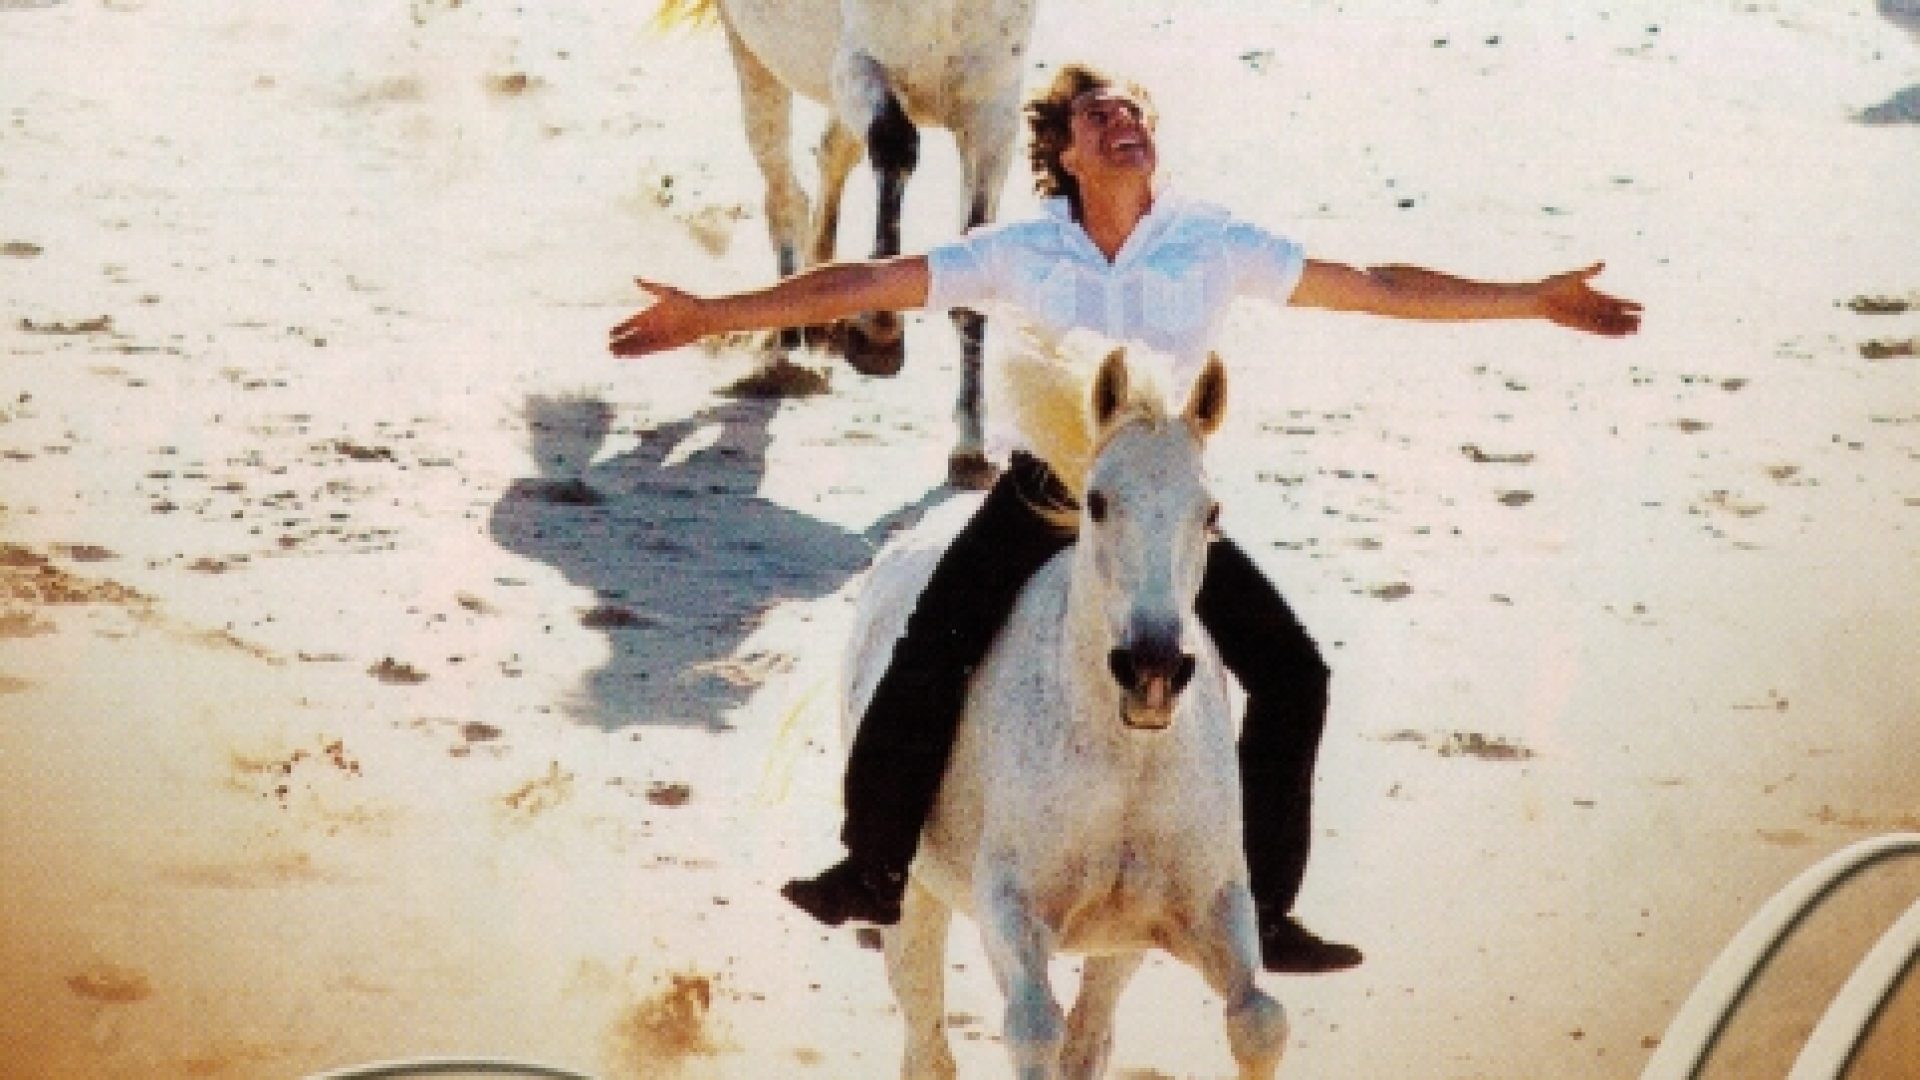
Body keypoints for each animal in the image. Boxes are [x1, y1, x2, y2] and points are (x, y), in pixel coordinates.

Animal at [653, 0, 1037, 489]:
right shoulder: (859, 66)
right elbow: (894, 145)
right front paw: (879, 337)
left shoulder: (991, 114)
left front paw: (970, 449)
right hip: (755, 58)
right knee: (784, 195)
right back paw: (787, 354)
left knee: (833, 153)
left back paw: (818, 322)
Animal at [840, 337, 1288, 1079]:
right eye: (1098, 503)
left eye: (1211, 513)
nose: (1152, 669)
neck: (1124, 755)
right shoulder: (1010, 907)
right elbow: (1032, 1029)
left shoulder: (1204, 906)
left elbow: (1259, 1023)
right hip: (914, 899)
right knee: (926, 1038)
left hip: (1119, 946)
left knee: (1090, 1033)